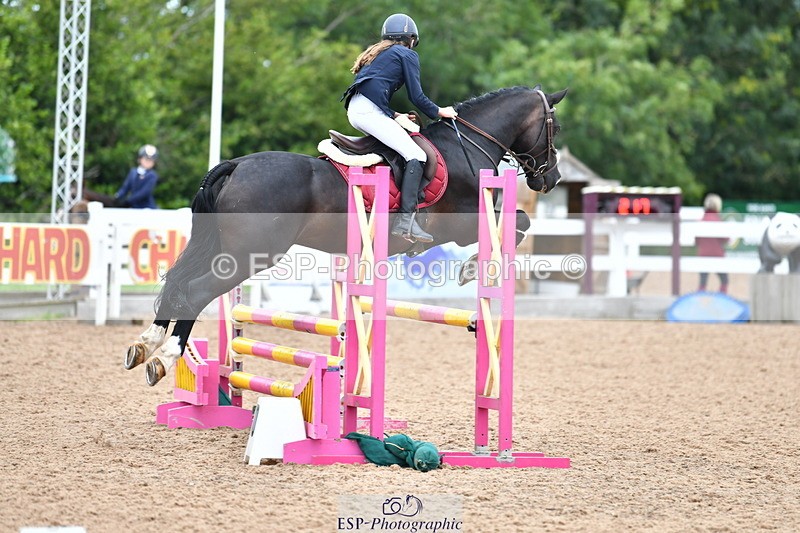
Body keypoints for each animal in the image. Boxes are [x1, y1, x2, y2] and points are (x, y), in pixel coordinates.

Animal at [124, 85, 567, 386]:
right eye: (556, 127)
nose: (551, 179)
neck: (467, 146)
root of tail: (235, 165)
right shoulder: (461, 224)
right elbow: (520, 222)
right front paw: (472, 268)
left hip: (221, 248)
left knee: (178, 283)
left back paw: (145, 345)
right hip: (247, 256)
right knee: (196, 291)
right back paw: (165, 357)